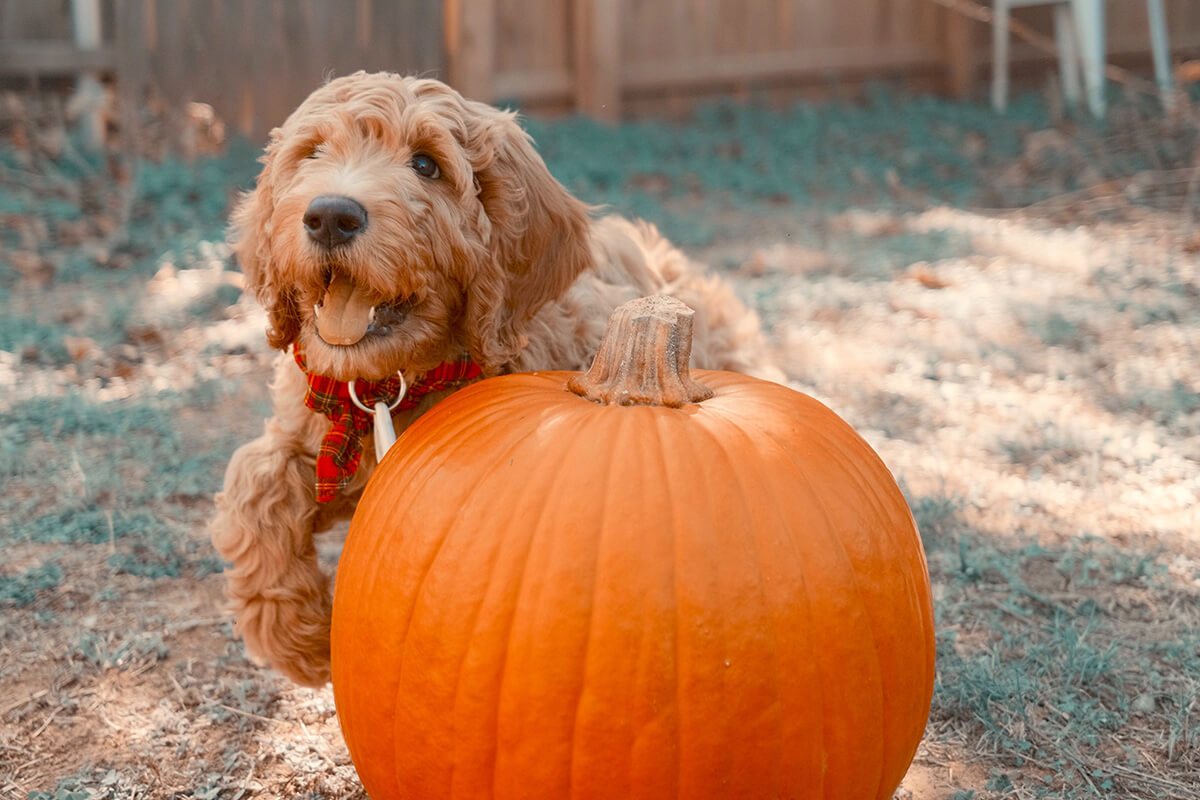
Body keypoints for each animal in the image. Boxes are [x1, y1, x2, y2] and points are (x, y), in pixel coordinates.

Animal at [212, 71, 777, 686]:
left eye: (427, 164)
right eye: (312, 153)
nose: (330, 216)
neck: (394, 383)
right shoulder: (313, 432)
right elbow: (253, 479)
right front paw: (300, 637)